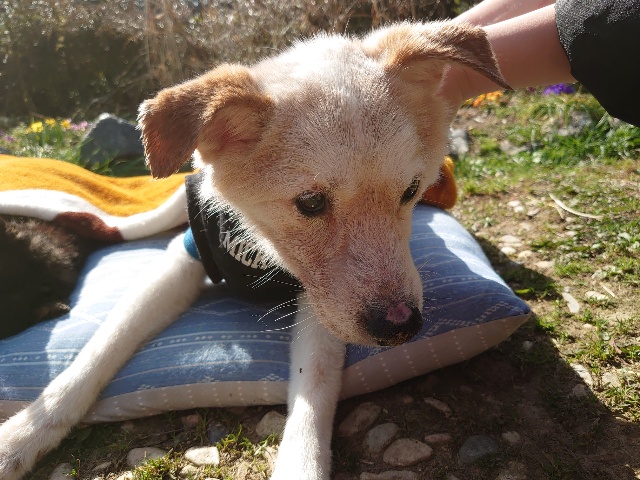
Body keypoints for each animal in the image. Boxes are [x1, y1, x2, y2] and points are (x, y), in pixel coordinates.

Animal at [0, 21, 508, 480]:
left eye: (411, 190)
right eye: (310, 203)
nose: (401, 327)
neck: (262, 247)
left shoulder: (319, 303)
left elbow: (313, 389)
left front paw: (300, 464)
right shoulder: (181, 262)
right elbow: (101, 348)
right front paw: (24, 434)